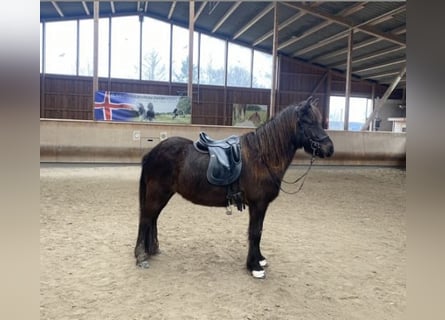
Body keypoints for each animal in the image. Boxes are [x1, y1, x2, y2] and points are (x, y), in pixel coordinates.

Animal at [134, 96, 332, 278]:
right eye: (308, 122)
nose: (329, 148)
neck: (262, 158)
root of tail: (152, 152)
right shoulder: (258, 205)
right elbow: (255, 232)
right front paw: (254, 267)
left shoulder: (261, 206)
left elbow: (259, 231)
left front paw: (259, 259)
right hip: (157, 194)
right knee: (146, 219)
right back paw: (141, 256)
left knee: (152, 219)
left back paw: (151, 250)